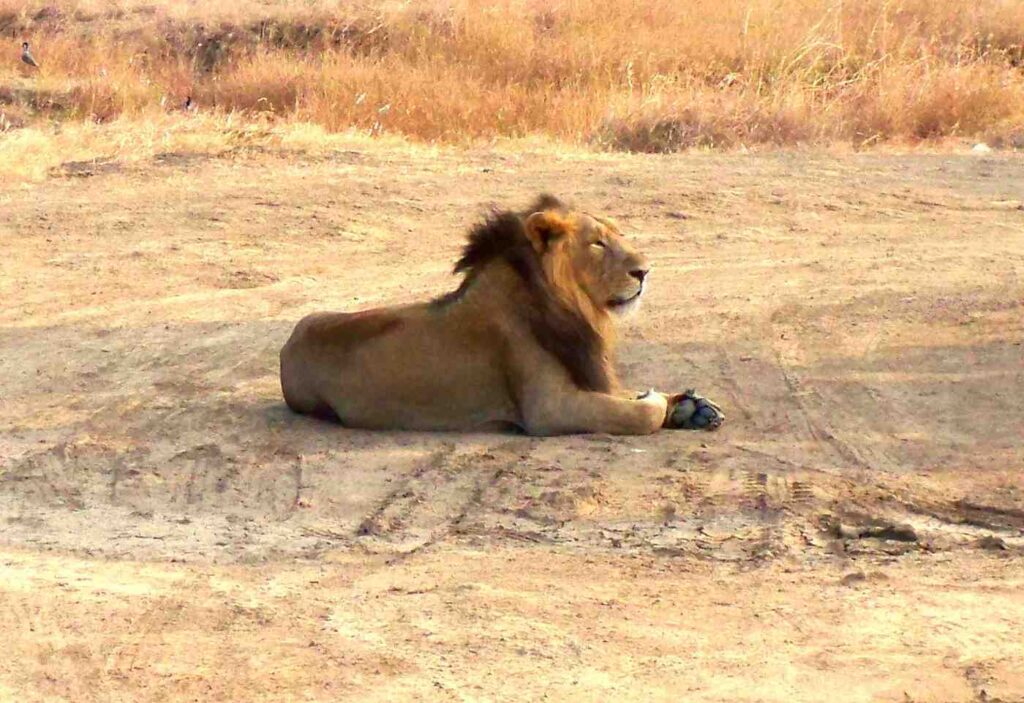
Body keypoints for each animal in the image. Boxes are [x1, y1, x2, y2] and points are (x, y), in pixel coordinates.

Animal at [280, 192, 724, 433]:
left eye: (617, 235)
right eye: (597, 243)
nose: (644, 271)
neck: (568, 304)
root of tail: (290, 339)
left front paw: (691, 407)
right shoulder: (549, 407)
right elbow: (638, 414)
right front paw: (655, 399)